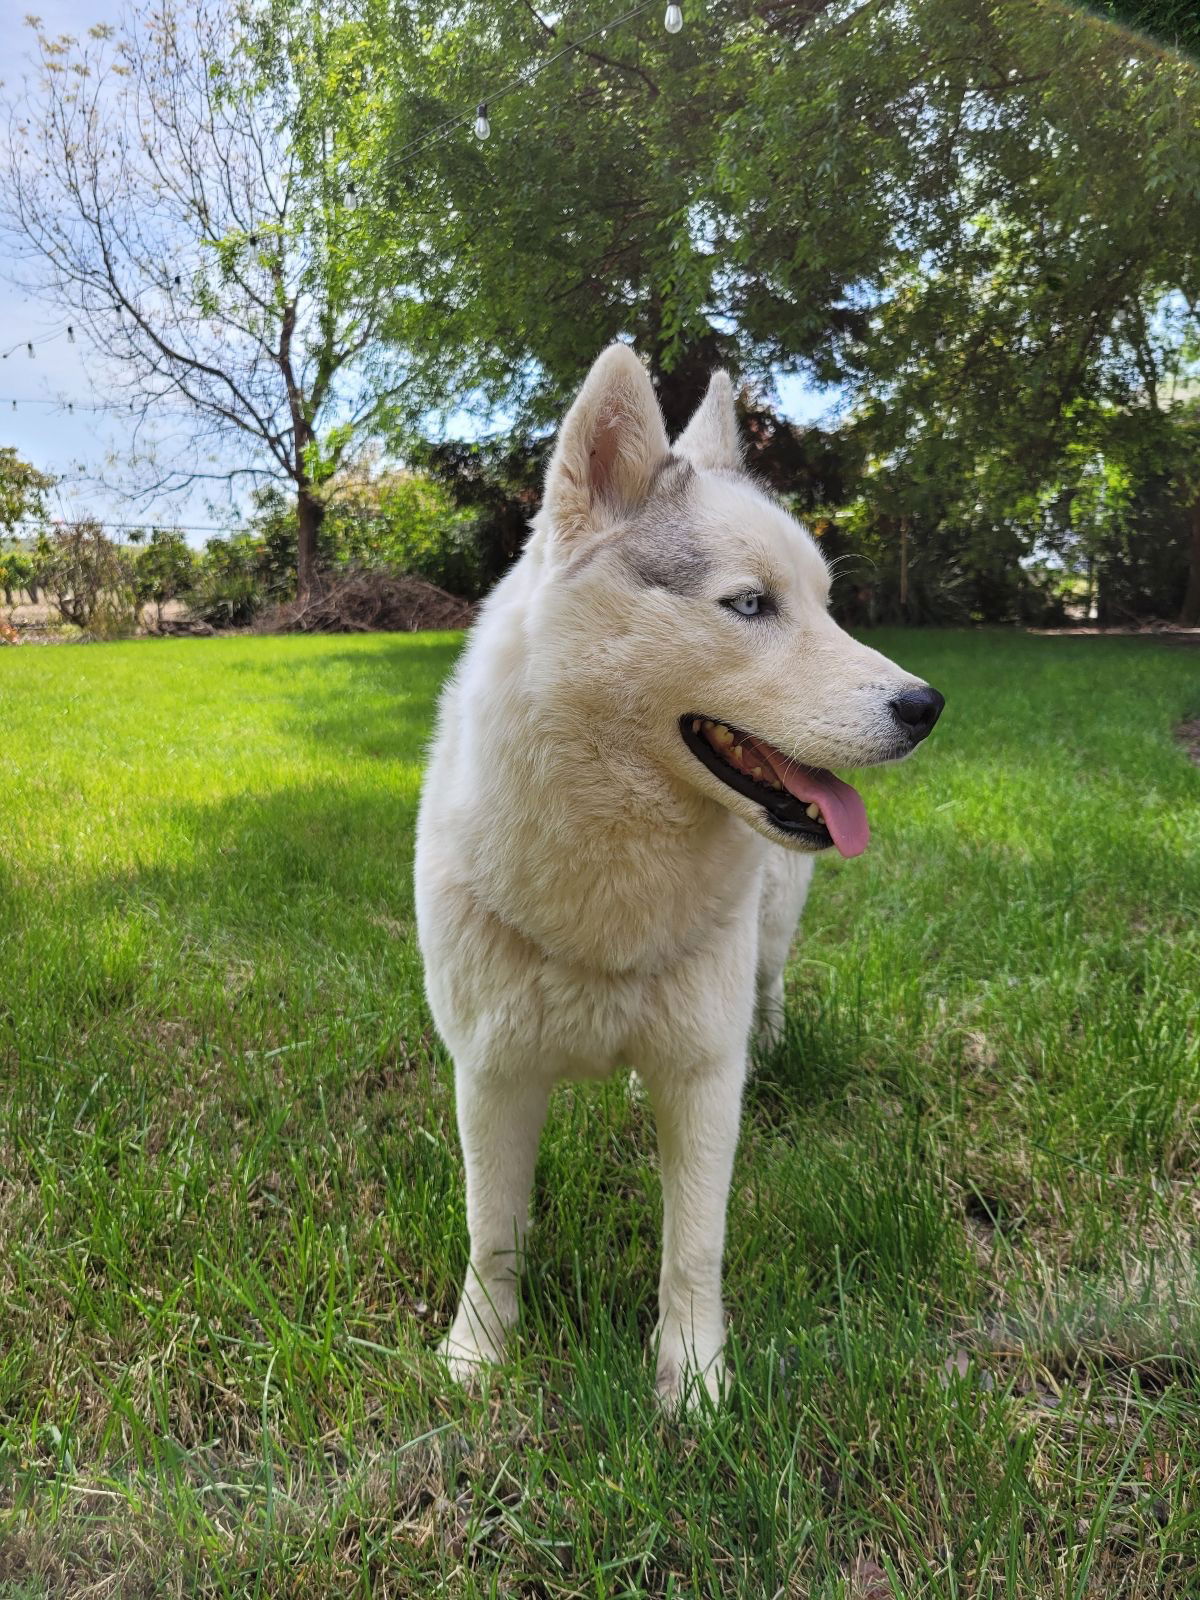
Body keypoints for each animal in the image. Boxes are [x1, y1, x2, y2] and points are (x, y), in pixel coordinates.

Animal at [419, 344, 947, 1408]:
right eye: (750, 605)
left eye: (826, 606)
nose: (925, 706)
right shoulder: (491, 1075)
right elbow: (493, 1236)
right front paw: (480, 1359)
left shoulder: (703, 1081)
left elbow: (693, 1247)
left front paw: (693, 1385)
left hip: (770, 939)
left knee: (769, 987)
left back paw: (768, 1041)